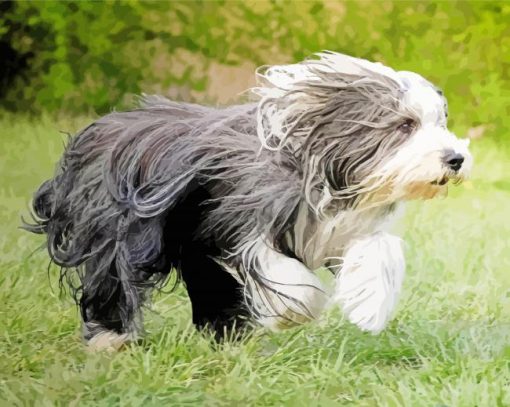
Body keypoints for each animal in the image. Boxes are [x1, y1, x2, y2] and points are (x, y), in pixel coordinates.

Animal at [24, 51, 474, 350]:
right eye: (404, 125)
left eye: (440, 122)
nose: (456, 159)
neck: (317, 162)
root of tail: (97, 131)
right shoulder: (236, 216)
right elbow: (282, 272)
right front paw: (295, 311)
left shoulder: (338, 229)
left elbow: (380, 248)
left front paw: (369, 305)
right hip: (118, 229)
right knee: (111, 279)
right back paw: (111, 341)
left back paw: (226, 336)